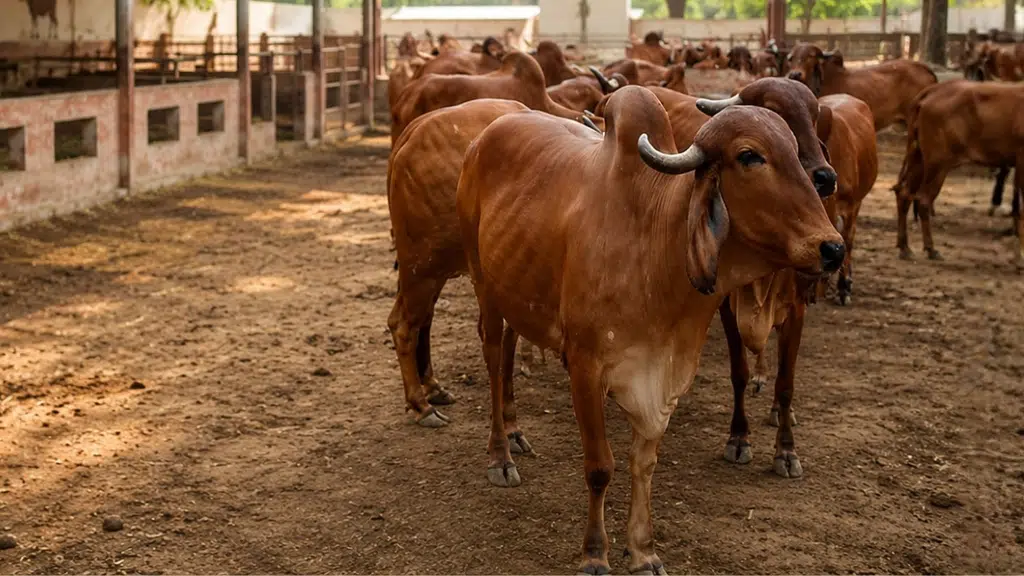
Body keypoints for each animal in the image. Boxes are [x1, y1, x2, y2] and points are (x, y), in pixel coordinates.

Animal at [455, 86, 844, 573]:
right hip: (484, 286)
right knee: (492, 359)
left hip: (514, 293)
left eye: (796, 148)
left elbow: (645, 464)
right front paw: (595, 554)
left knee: (507, 351)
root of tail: (483, 138)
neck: (654, 245)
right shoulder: (585, 368)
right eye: (749, 156)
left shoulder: (665, 375)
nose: (832, 248)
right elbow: (600, 467)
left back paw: (514, 432)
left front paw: (642, 550)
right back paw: (500, 455)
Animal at [892, 80, 1024, 265]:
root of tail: (935, 90)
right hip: (937, 164)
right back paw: (931, 249)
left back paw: (905, 247)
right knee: (923, 200)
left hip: (919, 159)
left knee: (904, 194)